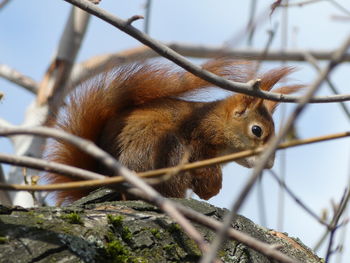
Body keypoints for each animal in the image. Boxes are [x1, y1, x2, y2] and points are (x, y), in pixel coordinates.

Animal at [45, 59, 302, 204]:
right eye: (257, 130)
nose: (269, 164)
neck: (218, 123)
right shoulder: (200, 137)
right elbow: (203, 166)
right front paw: (211, 189)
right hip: (165, 148)